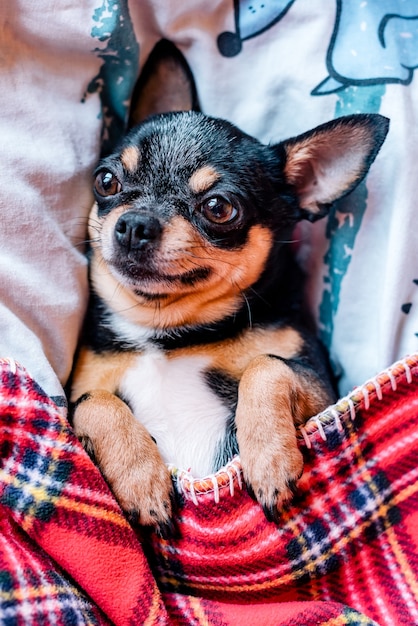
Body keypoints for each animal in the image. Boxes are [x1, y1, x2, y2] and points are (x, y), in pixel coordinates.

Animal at [71, 39, 388, 532]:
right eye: (106, 181)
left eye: (219, 208)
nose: (135, 224)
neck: (169, 336)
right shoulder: (79, 394)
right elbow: (94, 401)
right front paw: (142, 480)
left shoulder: (323, 392)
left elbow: (266, 366)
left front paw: (269, 461)